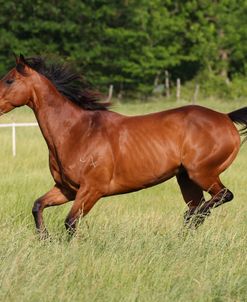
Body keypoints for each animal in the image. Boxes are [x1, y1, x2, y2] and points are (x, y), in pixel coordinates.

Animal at [0, 54, 247, 238]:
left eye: (9, 80)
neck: (76, 132)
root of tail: (226, 117)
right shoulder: (66, 189)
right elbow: (38, 206)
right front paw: (44, 238)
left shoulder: (92, 190)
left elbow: (70, 222)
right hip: (185, 178)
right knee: (198, 210)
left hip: (202, 173)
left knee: (219, 198)